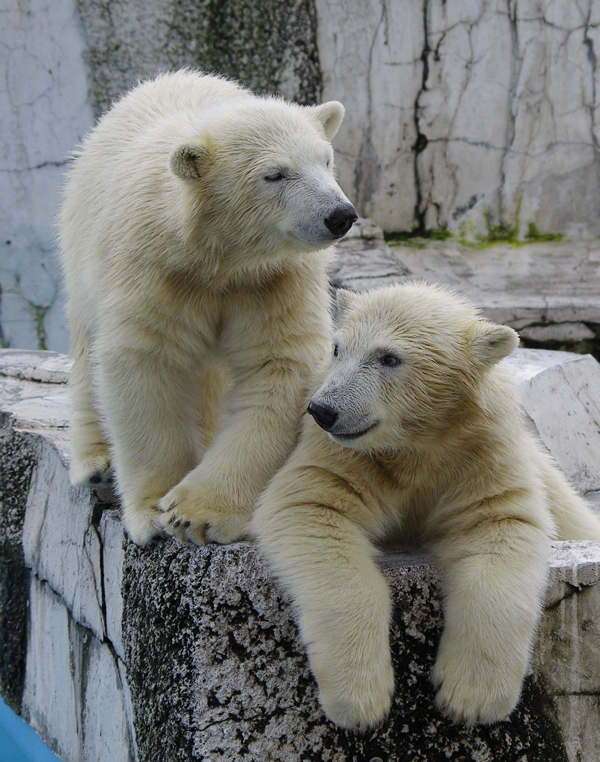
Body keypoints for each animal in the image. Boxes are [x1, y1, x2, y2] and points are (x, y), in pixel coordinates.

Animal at [59, 70, 356, 548]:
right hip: (81, 243)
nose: (340, 214)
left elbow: (277, 363)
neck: (218, 258)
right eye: (275, 174)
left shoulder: (271, 280)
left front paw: (197, 513)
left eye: (326, 160)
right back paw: (95, 462)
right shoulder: (155, 269)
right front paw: (153, 510)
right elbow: (144, 363)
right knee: (88, 346)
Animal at [252, 280, 600, 732]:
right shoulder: (345, 456)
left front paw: (471, 698)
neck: (417, 443)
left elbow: (500, 522)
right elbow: (312, 504)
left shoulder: (480, 453)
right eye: (337, 348)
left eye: (389, 357)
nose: (323, 410)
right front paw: (360, 699)